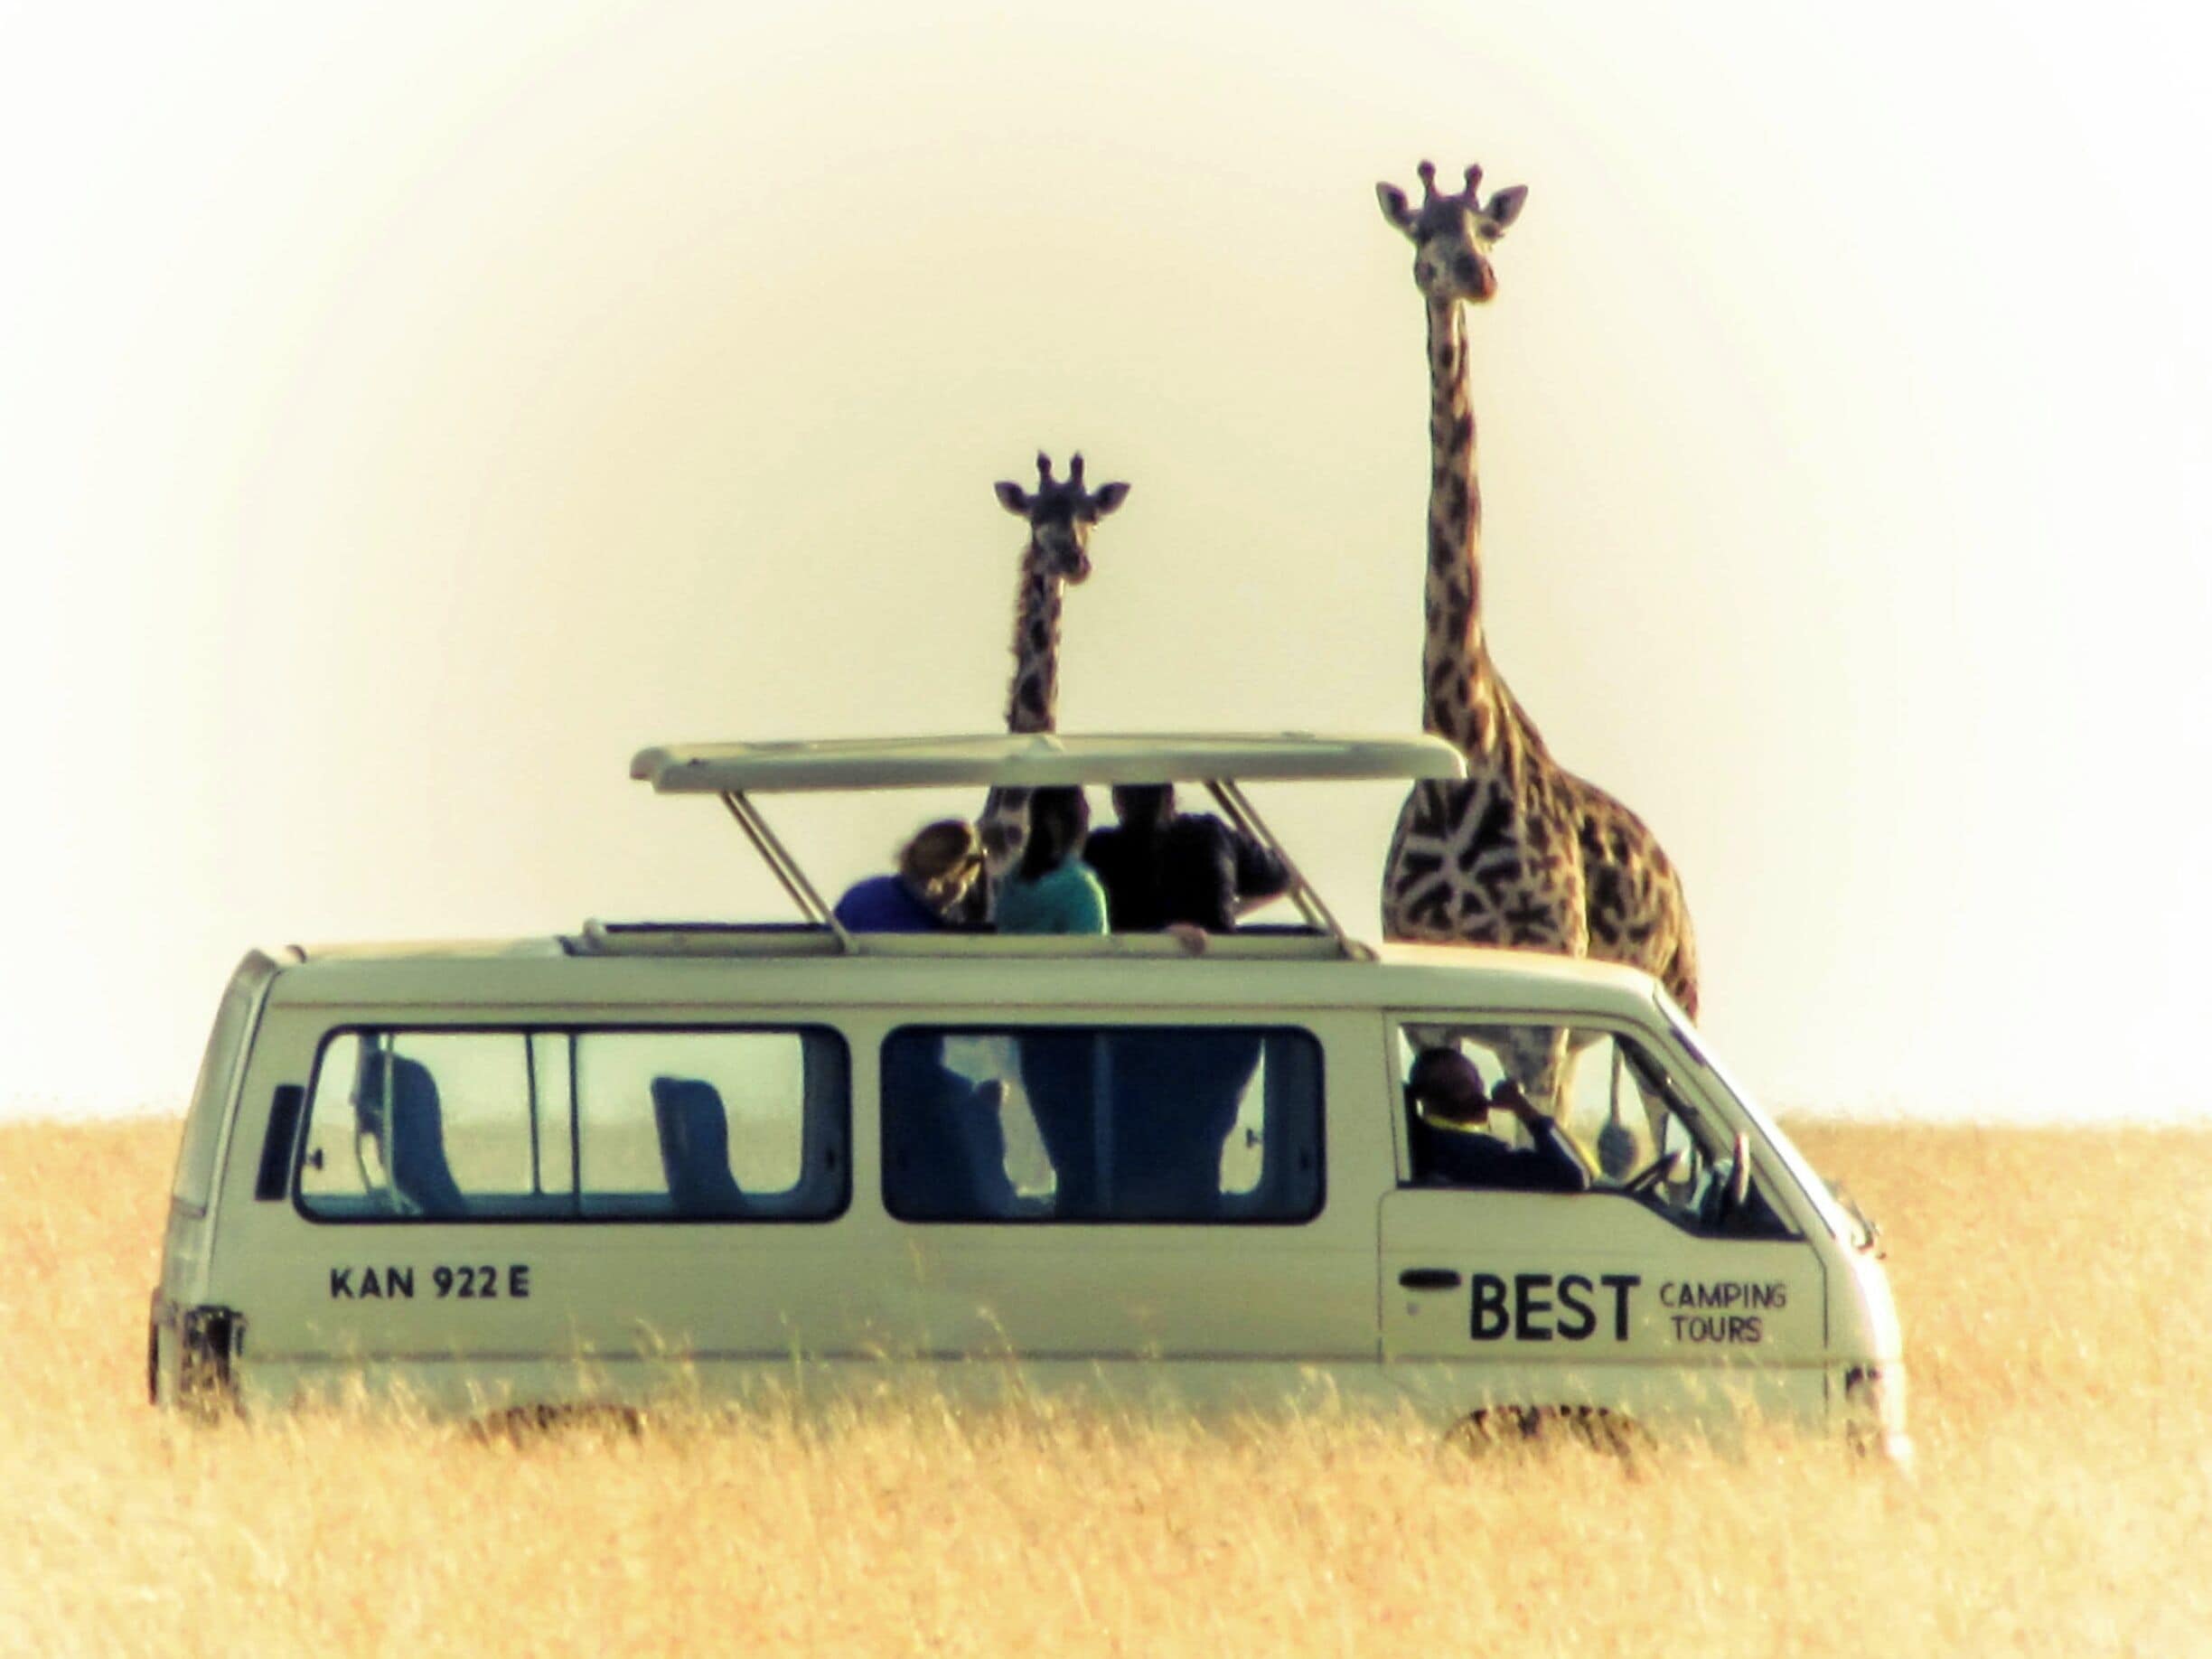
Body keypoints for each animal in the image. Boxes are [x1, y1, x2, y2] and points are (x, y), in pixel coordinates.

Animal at [1374, 160, 1700, 1104]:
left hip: (1678, 997)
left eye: (1489, 229)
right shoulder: (1430, 1007)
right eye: (1425, 232)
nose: (1477, 278)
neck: (1465, 731)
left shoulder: (1544, 1014)